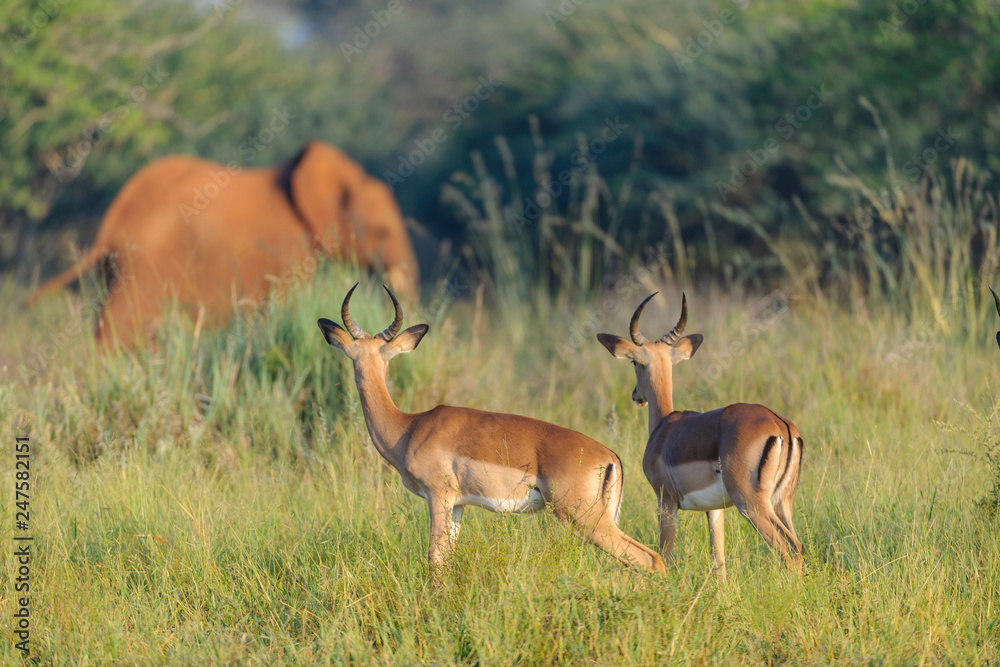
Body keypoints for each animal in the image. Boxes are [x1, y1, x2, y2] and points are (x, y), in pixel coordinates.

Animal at [317, 284, 665, 573]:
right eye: (356, 353)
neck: (408, 428)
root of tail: (611, 457)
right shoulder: (458, 505)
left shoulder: (438, 497)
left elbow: (434, 560)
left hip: (583, 517)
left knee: (650, 559)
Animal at [597, 293, 804, 578]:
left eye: (634, 362)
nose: (636, 395)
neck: (664, 427)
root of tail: (781, 425)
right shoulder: (714, 509)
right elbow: (719, 561)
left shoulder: (665, 500)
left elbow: (664, 553)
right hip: (782, 502)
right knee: (798, 548)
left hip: (751, 503)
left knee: (788, 551)